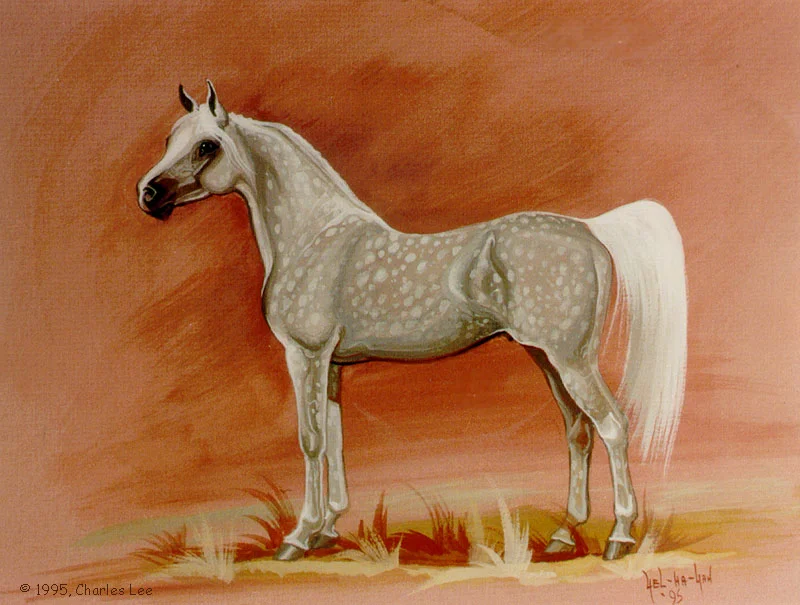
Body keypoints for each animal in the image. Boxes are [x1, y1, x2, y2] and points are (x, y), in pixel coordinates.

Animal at [136, 81, 687, 562]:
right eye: (169, 139)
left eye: (207, 145)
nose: (148, 194)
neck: (315, 235)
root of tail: (590, 230)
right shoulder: (332, 365)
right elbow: (335, 439)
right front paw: (327, 530)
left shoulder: (305, 356)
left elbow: (310, 441)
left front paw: (297, 537)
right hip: (547, 357)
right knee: (579, 433)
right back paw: (563, 535)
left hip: (570, 360)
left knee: (613, 427)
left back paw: (619, 536)